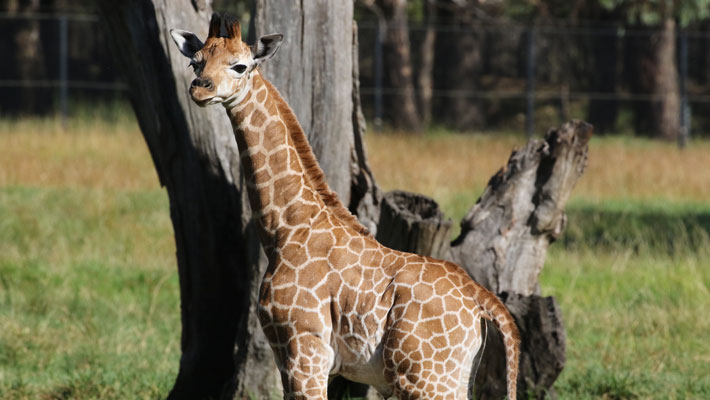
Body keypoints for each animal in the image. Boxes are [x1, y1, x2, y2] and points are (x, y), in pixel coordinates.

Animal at [170, 14, 520, 400]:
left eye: (240, 66)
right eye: (195, 61)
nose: (200, 89)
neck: (286, 227)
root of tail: (481, 300)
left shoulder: (304, 346)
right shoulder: (302, 358)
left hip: (424, 376)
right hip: (453, 376)